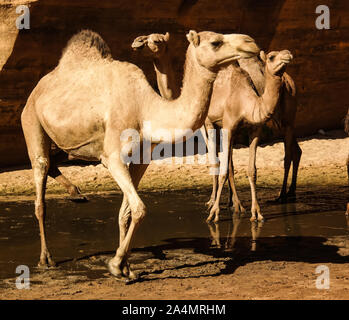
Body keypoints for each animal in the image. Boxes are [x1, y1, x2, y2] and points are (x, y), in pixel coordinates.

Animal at [19, 30, 258, 280]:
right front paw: (115, 265)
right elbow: (139, 208)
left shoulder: (141, 160)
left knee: (55, 163)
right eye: (215, 42)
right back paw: (46, 258)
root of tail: (38, 88)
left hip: (64, 140)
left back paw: (76, 194)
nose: (251, 43)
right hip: (31, 120)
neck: (146, 111)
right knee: (41, 182)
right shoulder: (113, 158)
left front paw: (127, 267)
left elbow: (125, 213)